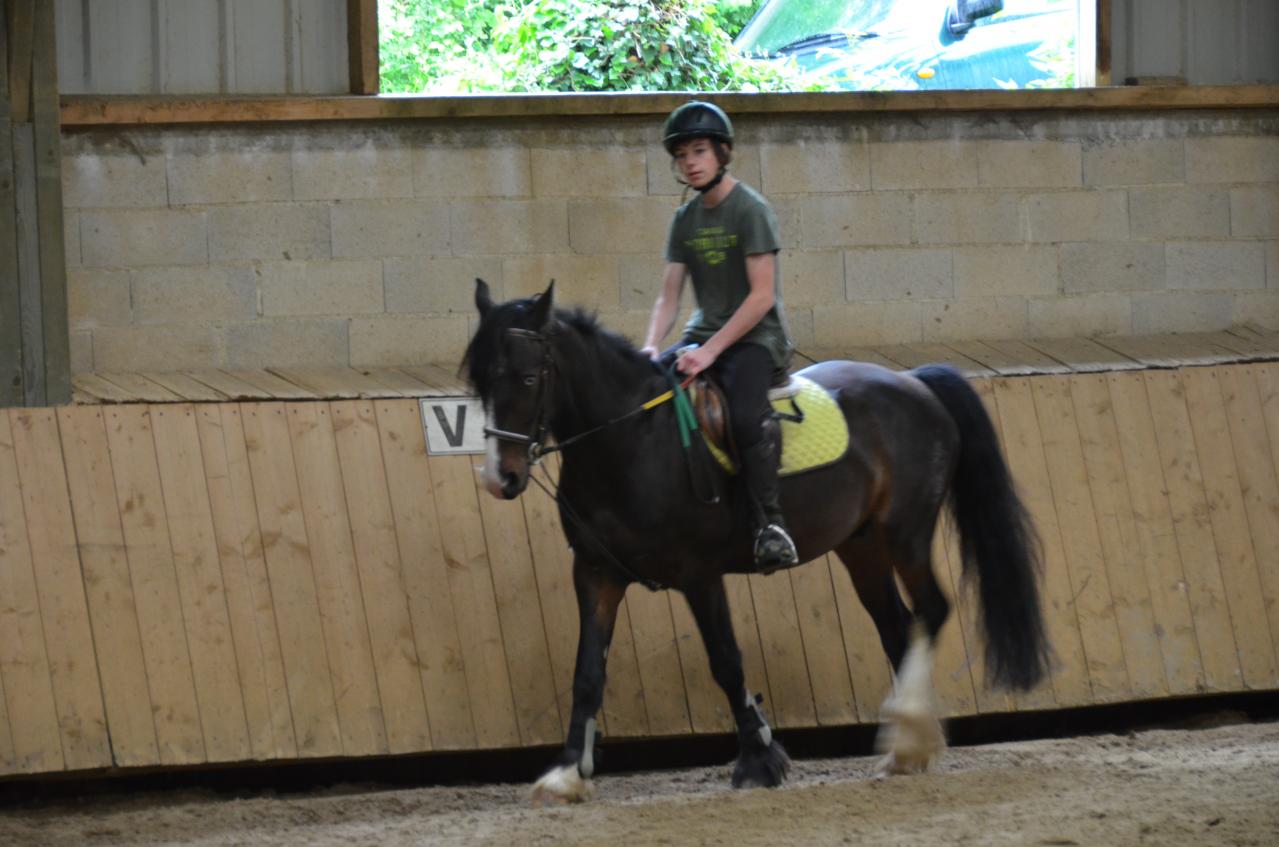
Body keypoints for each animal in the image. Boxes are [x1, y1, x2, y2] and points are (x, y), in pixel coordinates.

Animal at [462, 281, 1048, 808]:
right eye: (480, 381)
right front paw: (566, 775)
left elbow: (725, 660)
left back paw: (907, 733)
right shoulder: (596, 573)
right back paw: (911, 744)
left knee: (931, 609)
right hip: (861, 547)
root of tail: (912, 380)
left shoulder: (697, 575)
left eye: (530, 377)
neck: (630, 441)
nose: (499, 479)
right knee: (898, 627)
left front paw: (759, 760)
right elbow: (587, 671)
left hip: (905, 533)